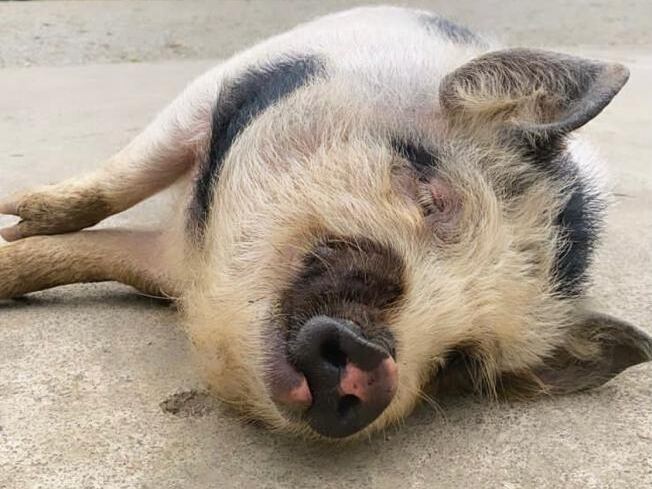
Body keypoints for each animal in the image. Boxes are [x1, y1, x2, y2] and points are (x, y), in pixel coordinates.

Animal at [1, 6, 650, 440]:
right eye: (427, 191)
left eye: (463, 361)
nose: (373, 365)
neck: (193, 264)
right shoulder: (220, 90)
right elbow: (116, 184)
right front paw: (17, 220)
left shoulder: (166, 268)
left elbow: (78, 256)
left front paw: (12, 259)